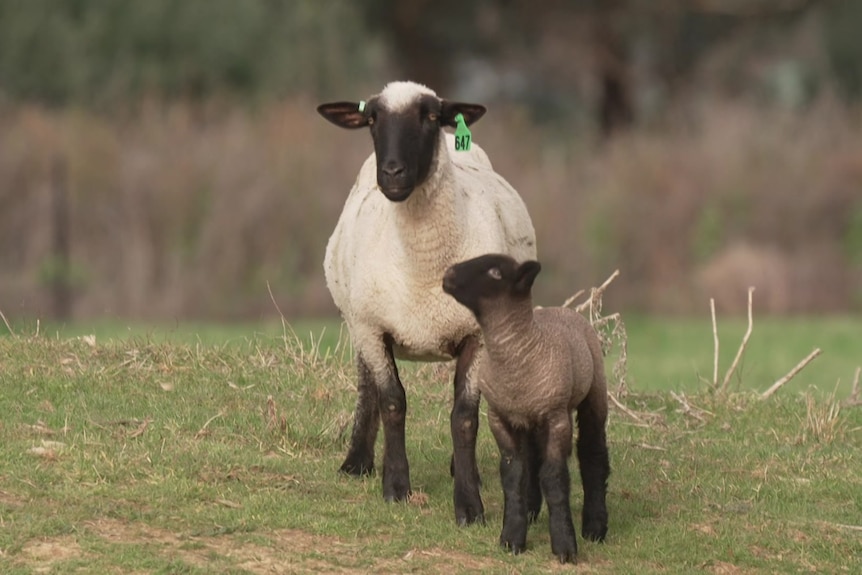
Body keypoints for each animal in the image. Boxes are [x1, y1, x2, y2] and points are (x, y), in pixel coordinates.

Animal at [318, 81, 536, 528]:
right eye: (372, 119)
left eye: (431, 116)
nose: (392, 173)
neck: (422, 265)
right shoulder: (372, 327)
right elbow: (392, 402)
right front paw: (396, 485)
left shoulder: (476, 334)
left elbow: (464, 416)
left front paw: (469, 504)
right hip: (358, 321)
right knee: (366, 385)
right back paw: (357, 461)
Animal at [446, 255, 608, 564]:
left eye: (495, 272)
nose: (447, 273)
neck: (519, 352)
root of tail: (563, 310)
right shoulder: (500, 418)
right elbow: (513, 474)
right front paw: (512, 537)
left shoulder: (557, 419)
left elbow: (555, 478)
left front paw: (565, 545)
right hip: (531, 420)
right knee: (533, 457)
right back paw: (532, 510)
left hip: (593, 393)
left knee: (593, 455)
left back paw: (595, 527)